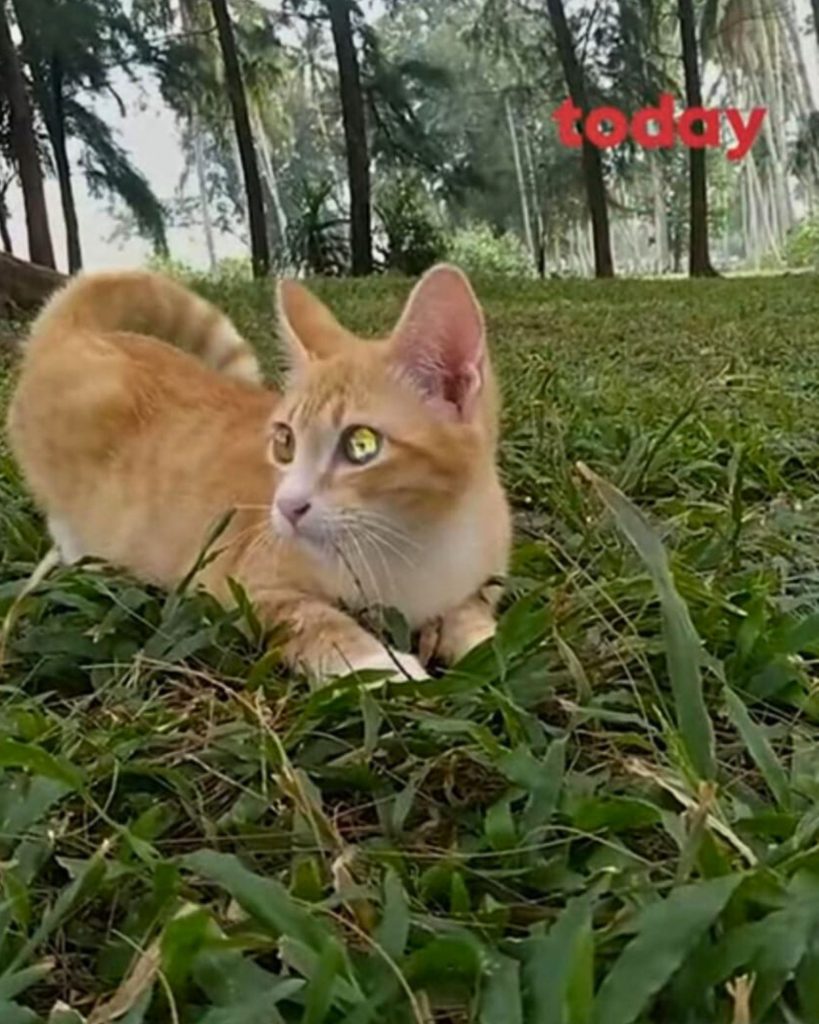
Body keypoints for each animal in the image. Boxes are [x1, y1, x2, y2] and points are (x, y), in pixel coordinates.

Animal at [7, 264, 511, 679]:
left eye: (361, 445)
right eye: (285, 442)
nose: (287, 506)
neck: (421, 541)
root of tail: (75, 331)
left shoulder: (478, 579)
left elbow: (474, 619)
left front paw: (487, 645)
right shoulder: (250, 585)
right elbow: (317, 623)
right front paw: (384, 668)